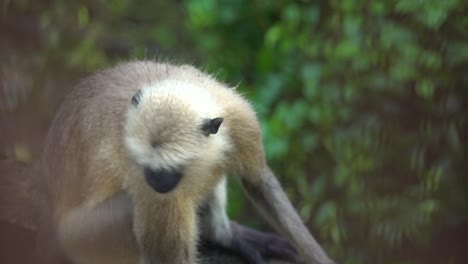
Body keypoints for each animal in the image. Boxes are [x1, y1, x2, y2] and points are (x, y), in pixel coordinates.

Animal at [39, 60, 332, 264]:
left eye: (167, 169)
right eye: (147, 166)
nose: (155, 181)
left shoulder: (239, 117)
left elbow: (258, 181)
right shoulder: (150, 190)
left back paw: (222, 235)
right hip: (80, 236)